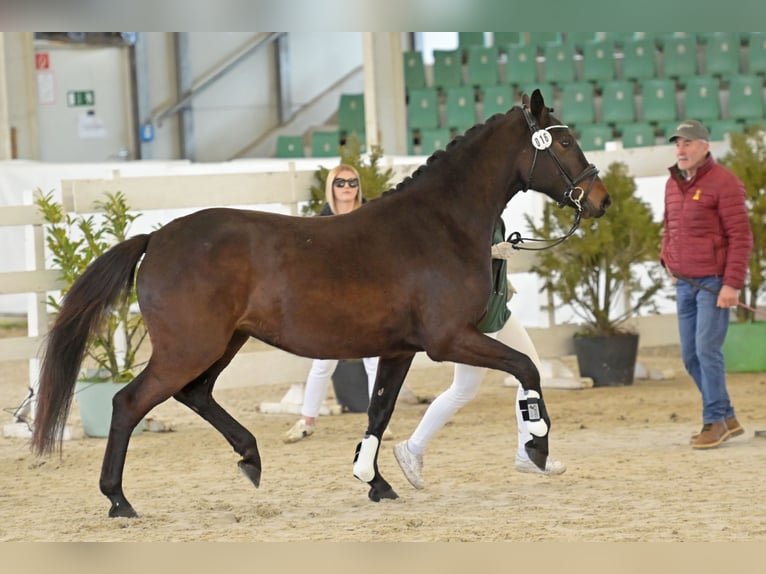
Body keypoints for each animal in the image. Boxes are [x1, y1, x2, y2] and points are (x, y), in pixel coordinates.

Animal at [31, 90, 611, 517]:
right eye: (563, 144)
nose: (601, 201)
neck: (438, 224)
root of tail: (156, 237)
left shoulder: (401, 348)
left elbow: (380, 410)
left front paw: (375, 480)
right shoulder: (448, 340)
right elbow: (526, 367)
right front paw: (538, 448)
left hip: (224, 343)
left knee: (195, 395)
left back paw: (250, 458)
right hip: (189, 348)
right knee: (129, 403)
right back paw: (119, 500)